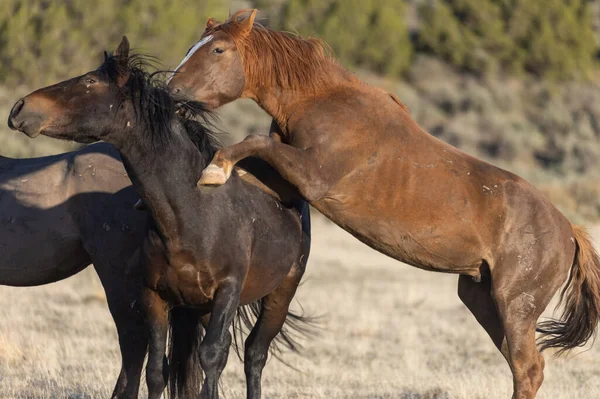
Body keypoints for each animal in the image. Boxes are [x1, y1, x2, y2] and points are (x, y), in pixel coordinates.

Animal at [10, 36, 314, 398]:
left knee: (253, 356)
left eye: (90, 81)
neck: (193, 214)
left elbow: (212, 358)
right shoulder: (155, 295)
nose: (19, 108)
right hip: (198, 309)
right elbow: (158, 370)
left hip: (279, 295)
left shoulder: (227, 292)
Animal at [166, 9, 600, 399]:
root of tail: (569, 231)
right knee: (520, 364)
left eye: (218, 49)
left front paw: (214, 172)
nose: (172, 90)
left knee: (529, 368)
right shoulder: (286, 181)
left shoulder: (312, 177)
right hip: (482, 298)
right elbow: (252, 157)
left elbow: (252, 142)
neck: (325, 105)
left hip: (515, 304)